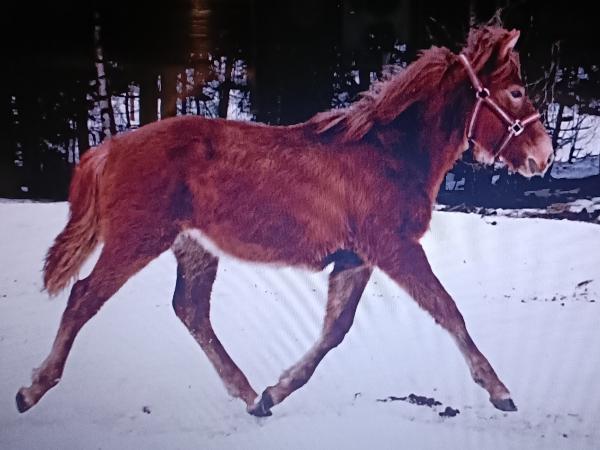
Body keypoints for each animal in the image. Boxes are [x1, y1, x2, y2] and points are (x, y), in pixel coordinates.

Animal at [16, 26, 553, 416]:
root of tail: (108, 148)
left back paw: (248, 394)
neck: (388, 153)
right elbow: (448, 311)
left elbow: (335, 330)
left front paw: (277, 391)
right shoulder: (395, 249)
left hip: (193, 247)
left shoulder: (356, 259)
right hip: (136, 240)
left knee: (191, 311)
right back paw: (32, 389)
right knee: (85, 298)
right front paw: (500, 391)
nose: (544, 155)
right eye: (515, 91)